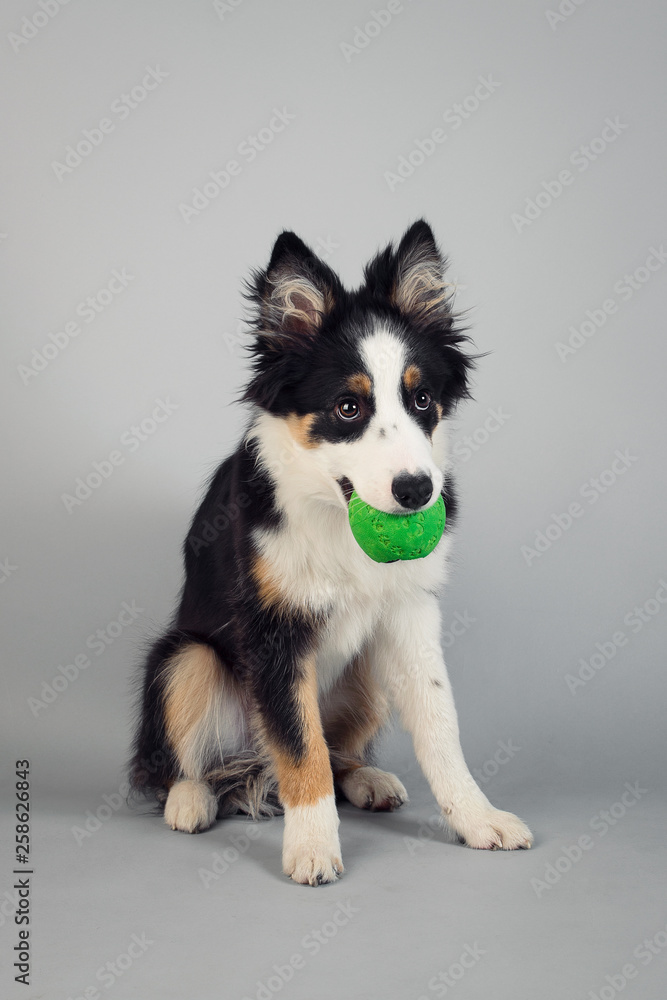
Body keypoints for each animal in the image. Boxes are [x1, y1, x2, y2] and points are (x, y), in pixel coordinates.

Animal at [130, 219, 536, 884]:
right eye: (348, 407)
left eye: (422, 401)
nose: (416, 491)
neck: (337, 514)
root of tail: (250, 765)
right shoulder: (274, 630)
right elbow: (301, 745)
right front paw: (313, 847)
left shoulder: (410, 615)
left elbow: (438, 724)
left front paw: (479, 819)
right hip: (186, 658)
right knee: (182, 760)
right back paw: (191, 798)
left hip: (367, 670)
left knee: (337, 749)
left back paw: (365, 779)